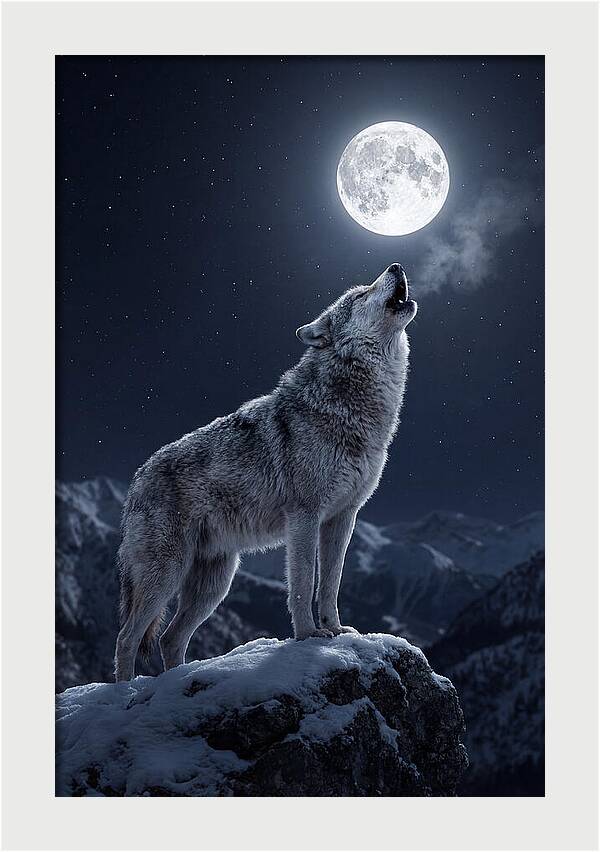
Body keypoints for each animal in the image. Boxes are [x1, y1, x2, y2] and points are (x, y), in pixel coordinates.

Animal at [114, 263, 417, 680]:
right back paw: (124, 691)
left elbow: (331, 583)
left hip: (215, 584)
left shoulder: (343, 517)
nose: (396, 266)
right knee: (127, 638)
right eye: (360, 294)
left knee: (169, 638)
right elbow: (304, 582)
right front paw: (308, 636)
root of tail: (136, 478)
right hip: (165, 576)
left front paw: (336, 629)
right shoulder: (304, 517)